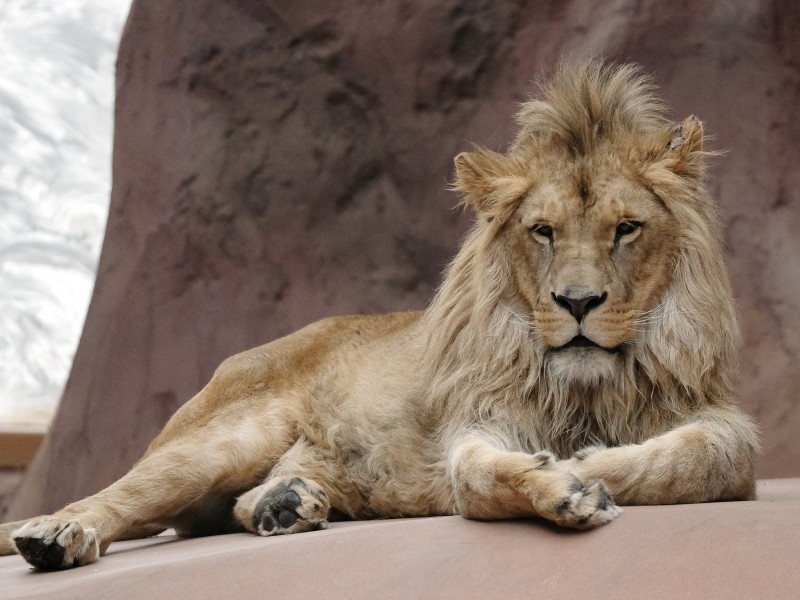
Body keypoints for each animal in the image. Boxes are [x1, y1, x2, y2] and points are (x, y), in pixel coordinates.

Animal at [0, 61, 756, 572]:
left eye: (626, 229)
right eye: (542, 231)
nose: (576, 303)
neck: (585, 385)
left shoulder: (720, 421)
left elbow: (697, 460)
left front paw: (590, 463)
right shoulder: (475, 423)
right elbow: (480, 475)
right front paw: (560, 484)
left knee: (230, 508)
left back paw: (285, 503)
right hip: (217, 442)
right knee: (116, 498)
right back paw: (54, 536)